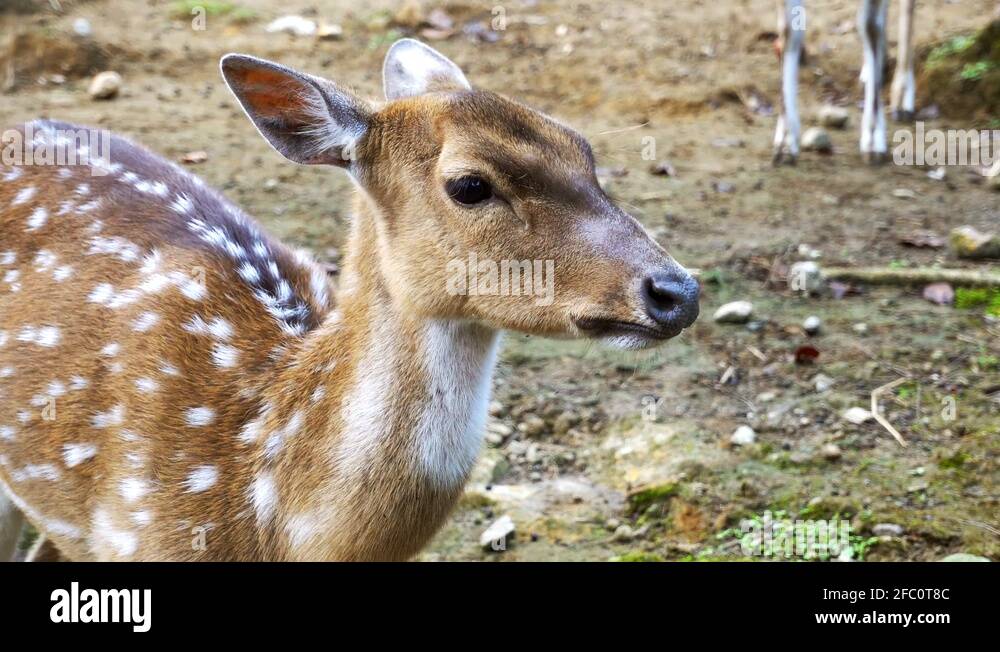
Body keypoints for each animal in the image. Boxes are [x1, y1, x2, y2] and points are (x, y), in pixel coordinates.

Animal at [772, 0, 917, 164]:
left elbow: (870, 26)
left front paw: (873, 143)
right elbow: (788, 29)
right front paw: (784, 143)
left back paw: (902, 99)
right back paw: (873, 69)